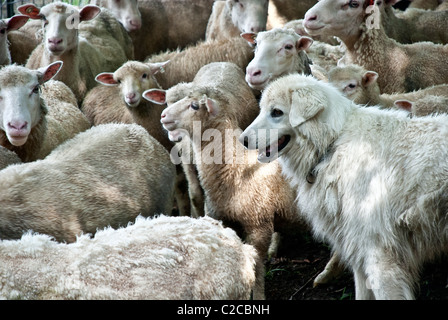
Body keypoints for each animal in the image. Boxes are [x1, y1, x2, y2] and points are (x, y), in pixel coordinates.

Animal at [144, 62, 308, 300]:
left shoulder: (259, 224)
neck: (236, 166)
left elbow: (258, 267)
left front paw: (258, 296)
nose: (164, 115)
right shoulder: (222, 219)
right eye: (166, 101)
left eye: (195, 105)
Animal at [242, 73, 448, 300]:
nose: (242, 140)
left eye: (276, 112)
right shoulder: (359, 253)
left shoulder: (380, 257)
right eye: (262, 110)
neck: (332, 143)